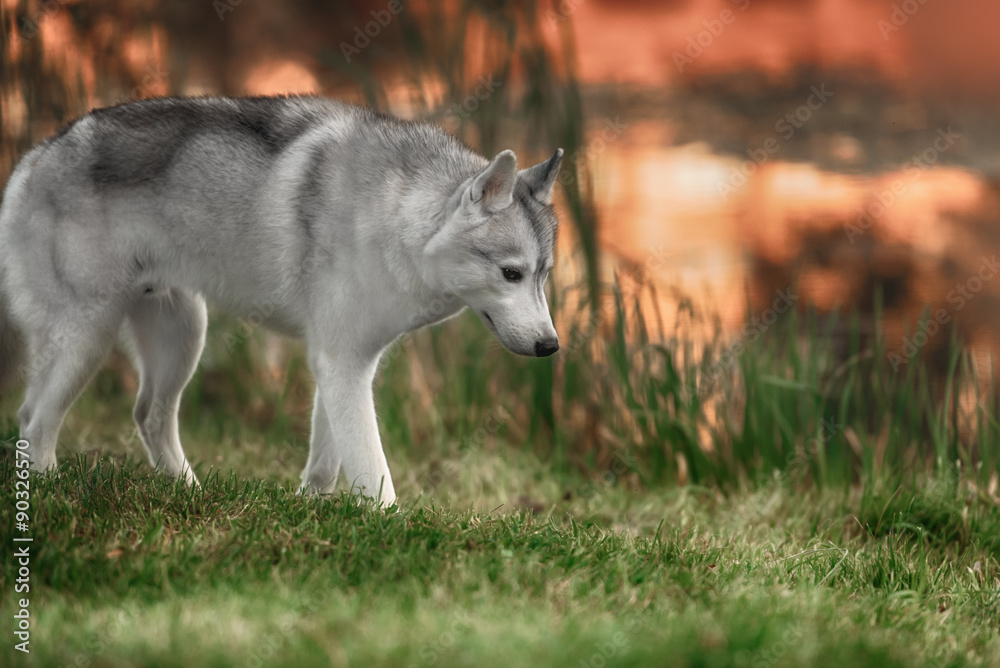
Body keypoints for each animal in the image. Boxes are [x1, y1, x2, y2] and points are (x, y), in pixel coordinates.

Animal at [0, 95, 563, 506]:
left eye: (542, 276)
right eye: (510, 273)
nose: (551, 346)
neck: (398, 217)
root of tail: (36, 155)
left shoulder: (346, 366)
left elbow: (328, 460)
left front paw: (313, 510)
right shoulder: (342, 363)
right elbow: (372, 468)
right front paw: (390, 528)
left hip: (183, 332)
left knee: (149, 416)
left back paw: (190, 494)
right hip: (88, 337)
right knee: (34, 420)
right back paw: (48, 496)